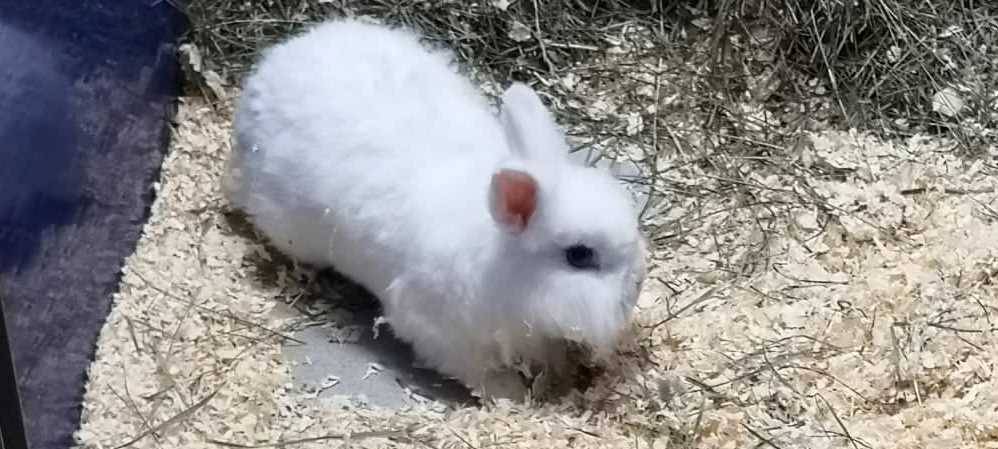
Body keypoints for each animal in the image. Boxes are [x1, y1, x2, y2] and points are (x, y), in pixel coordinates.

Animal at [225, 18, 648, 400]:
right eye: (579, 255)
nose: (637, 285)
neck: (502, 264)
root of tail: (271, 67)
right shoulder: (443, 337)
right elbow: (484, 376)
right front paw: (511, 396)